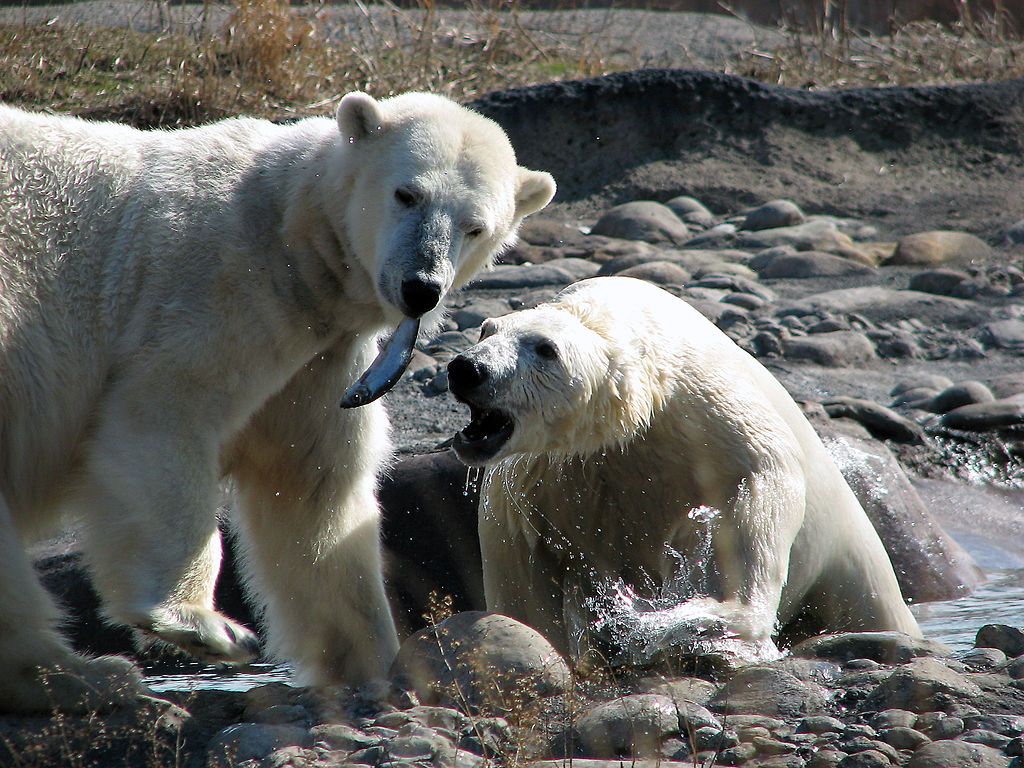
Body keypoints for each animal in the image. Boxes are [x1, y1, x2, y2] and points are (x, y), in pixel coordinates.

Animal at [0, 92, 555, 713]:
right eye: (406, 194)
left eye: (475, 226)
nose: (422, 287)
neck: (291, 231)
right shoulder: (217, 288)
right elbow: (165, 417)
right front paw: (201, 624)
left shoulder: (320, 360)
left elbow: (312, 491)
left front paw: (377, 670)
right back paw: (88, 674)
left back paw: (69, 675)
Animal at [446, 276, 921, 663]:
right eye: (487, 329)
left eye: (546, 348)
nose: (467, 368)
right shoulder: (539, 472)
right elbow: (515, 558)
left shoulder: (698, 406)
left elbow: (759, 475)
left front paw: (712, 615)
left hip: (847, 554)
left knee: (872, 605)